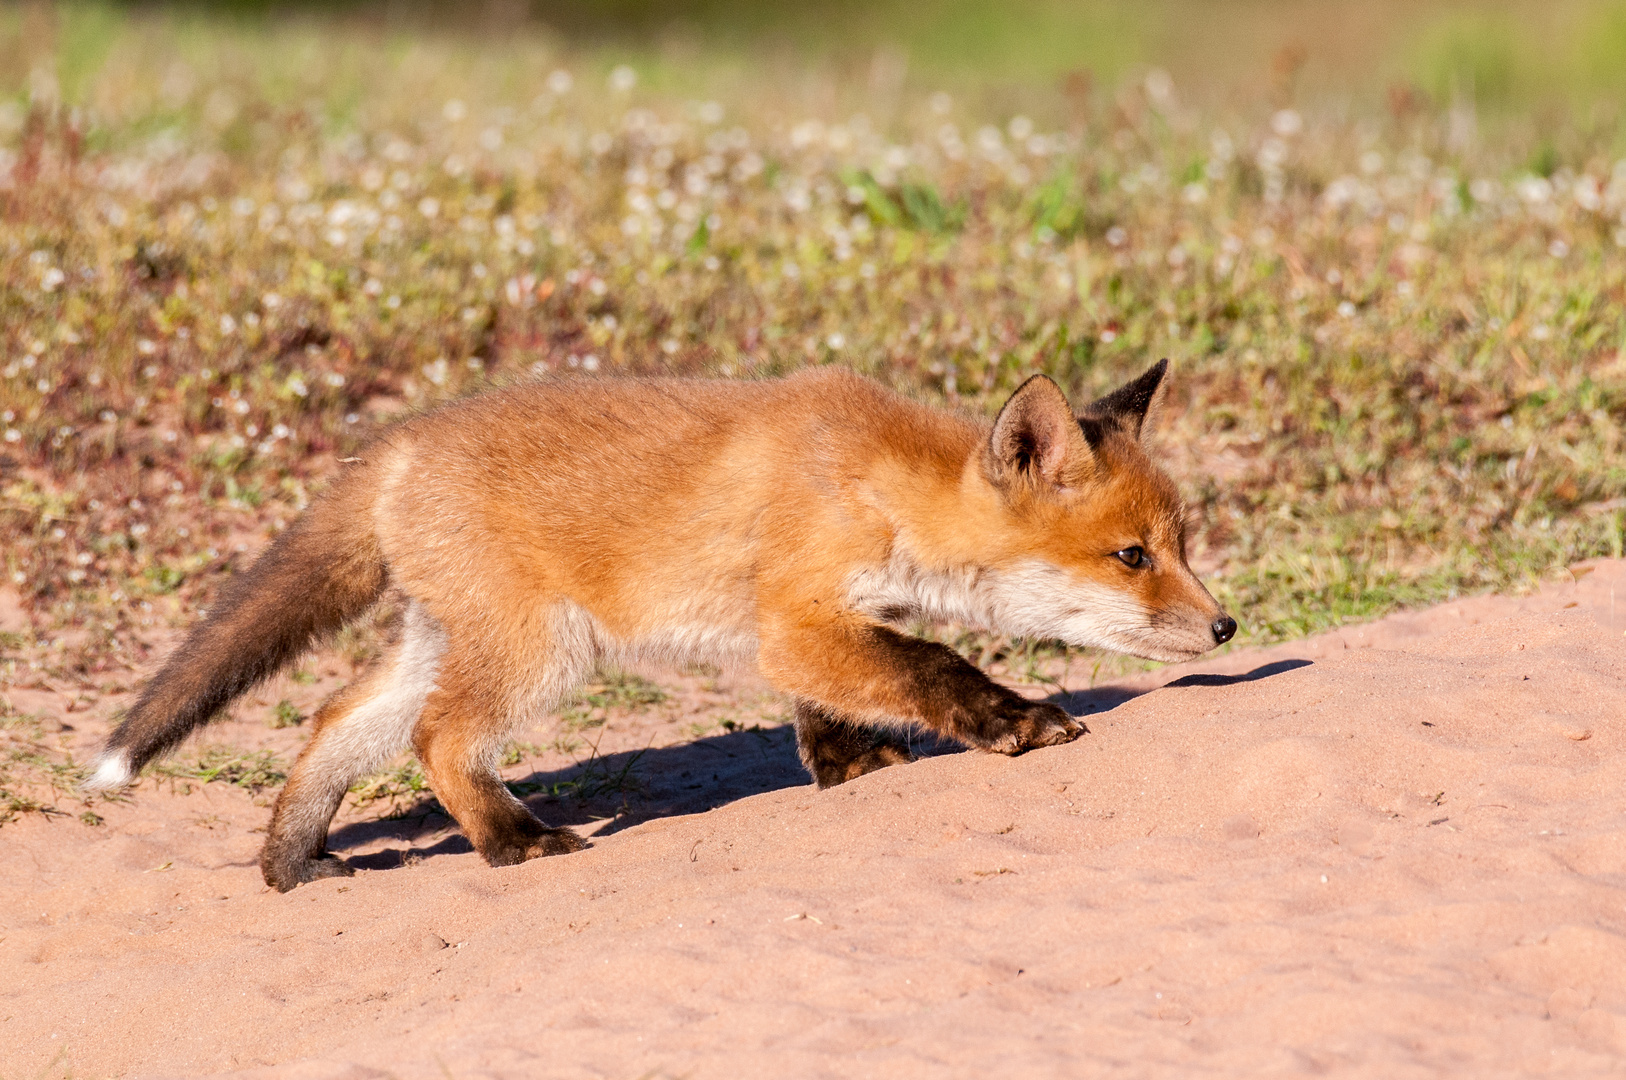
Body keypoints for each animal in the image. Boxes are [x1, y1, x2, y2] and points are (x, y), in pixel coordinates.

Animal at [85, 357, 1229, 891]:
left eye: (1183, 544)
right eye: (1132, 559)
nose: (1224, 630)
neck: (878, 483)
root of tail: (396, 446)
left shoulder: (817, 625)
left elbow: (830, 712)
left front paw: (850, 770)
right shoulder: (795, 620)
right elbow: (932, 670)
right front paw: (1016, 723)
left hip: (451, 644)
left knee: (335, 723)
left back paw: (291, 865)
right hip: (543, 653)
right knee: (438, 740)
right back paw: (514, 843)